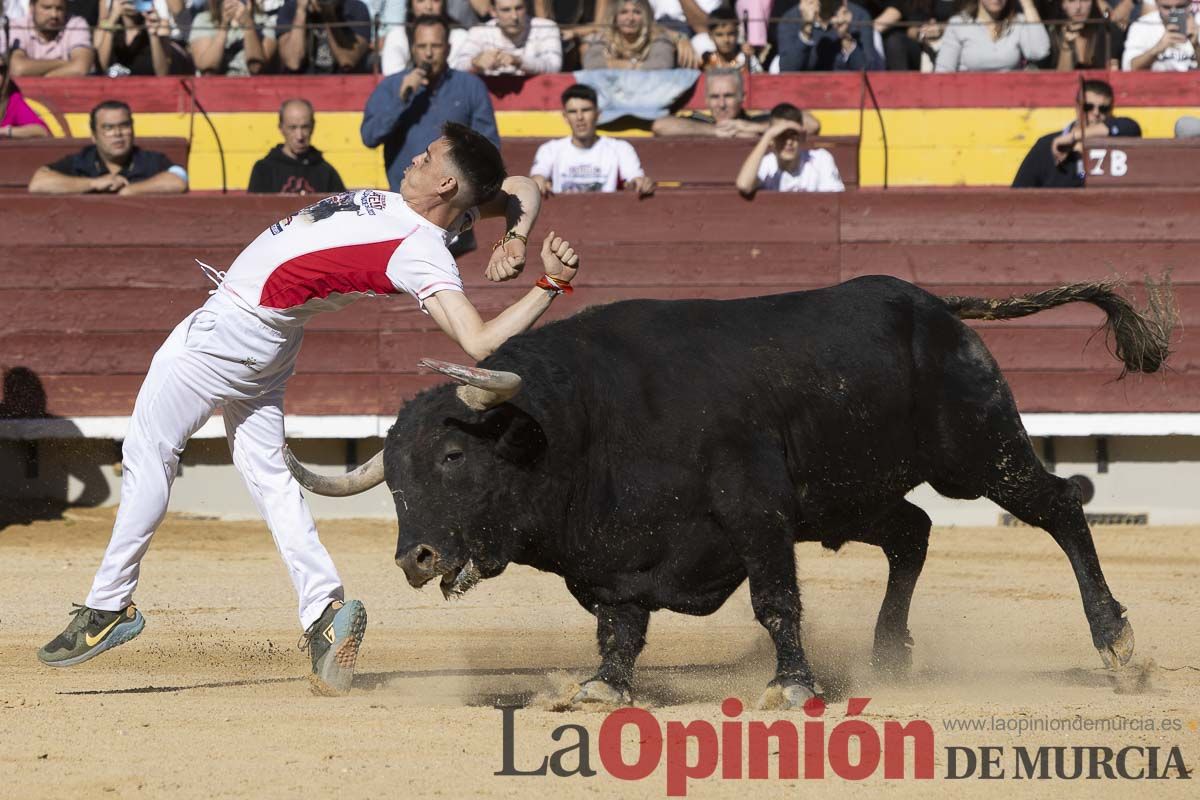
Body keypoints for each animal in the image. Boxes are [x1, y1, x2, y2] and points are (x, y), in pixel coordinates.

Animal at [288, 275, 1171, 705]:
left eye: (450, 458)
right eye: (393, 481)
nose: (415, 558)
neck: (582, 423)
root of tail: (933, 306)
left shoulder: (758, 513)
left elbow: (776, 600)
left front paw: (791, 685)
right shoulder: (617, 560)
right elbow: (619, 630)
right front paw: (602, 689)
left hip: (979, 450)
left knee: (1059, 507)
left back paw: (1117, 642)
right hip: (855, 493)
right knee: (912, 533)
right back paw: (889, 656)